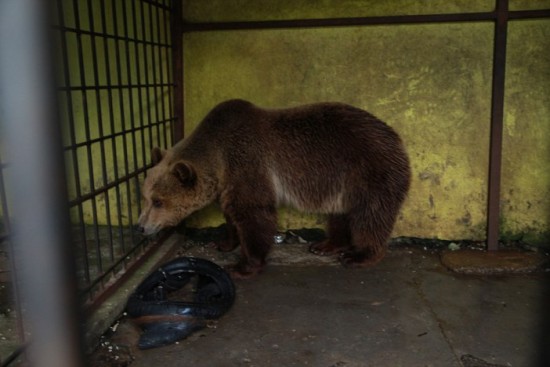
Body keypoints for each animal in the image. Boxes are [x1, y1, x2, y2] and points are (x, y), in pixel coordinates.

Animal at [139, 100, 410, 278]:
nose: (140, 226)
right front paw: (225, 242)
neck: (219, 159)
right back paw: (326, 245)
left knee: (370, 215)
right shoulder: (229, 181)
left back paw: (359, 254)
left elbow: (253, 213)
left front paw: (243, 265)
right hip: (341, 184)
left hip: (370, 170)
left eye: (158, 201)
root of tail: (397, 138)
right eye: (144, 197)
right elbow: (231, 213)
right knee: (340, 213)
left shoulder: (248, 163)